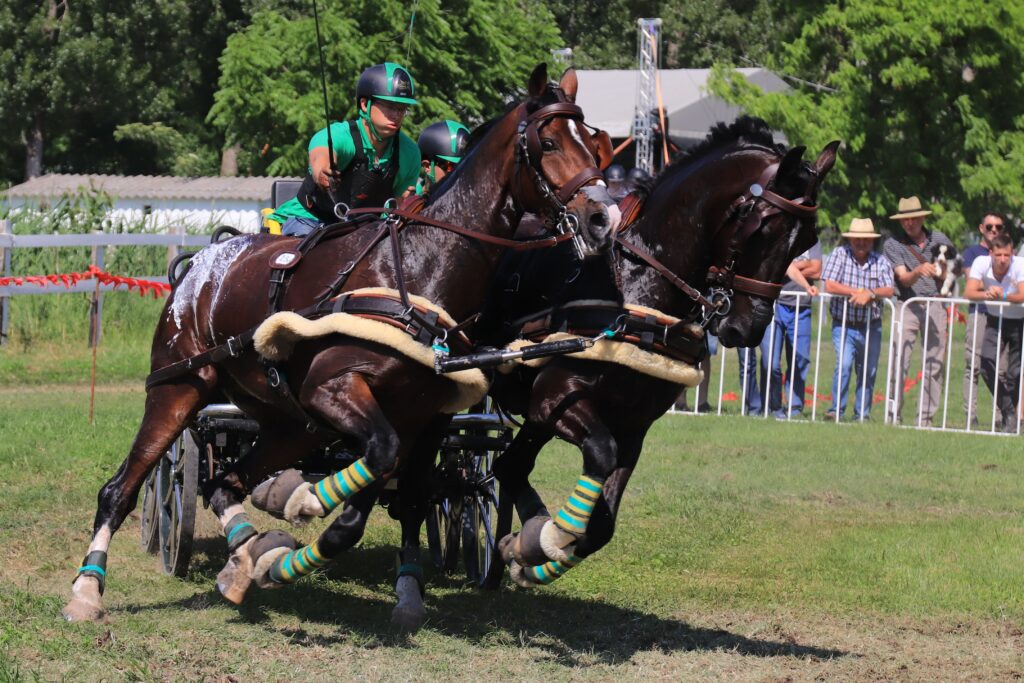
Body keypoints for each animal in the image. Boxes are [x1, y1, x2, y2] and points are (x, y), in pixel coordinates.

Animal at [66, 63, 622, 626]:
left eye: (595, 143)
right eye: (549, 142)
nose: (605, 220)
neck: (418, 271)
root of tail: (200, 267)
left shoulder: (421, 417)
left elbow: (398, 491)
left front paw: (394, 585)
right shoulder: (333, 390)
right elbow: (375, 463)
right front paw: (305, 504)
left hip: (289, 422)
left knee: (226, 483)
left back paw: (247, 557)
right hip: (180, 388)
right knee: (126, 487)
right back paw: (88, 591)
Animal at [475, 117, 835, 589]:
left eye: (806, 240)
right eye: (762, 227)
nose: (749, 327)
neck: (635, 290)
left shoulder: (632, 424)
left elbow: (601, 525)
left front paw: (527, 549)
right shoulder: (554, 398)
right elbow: (599, 454)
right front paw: (542, 540)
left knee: (510, 467)